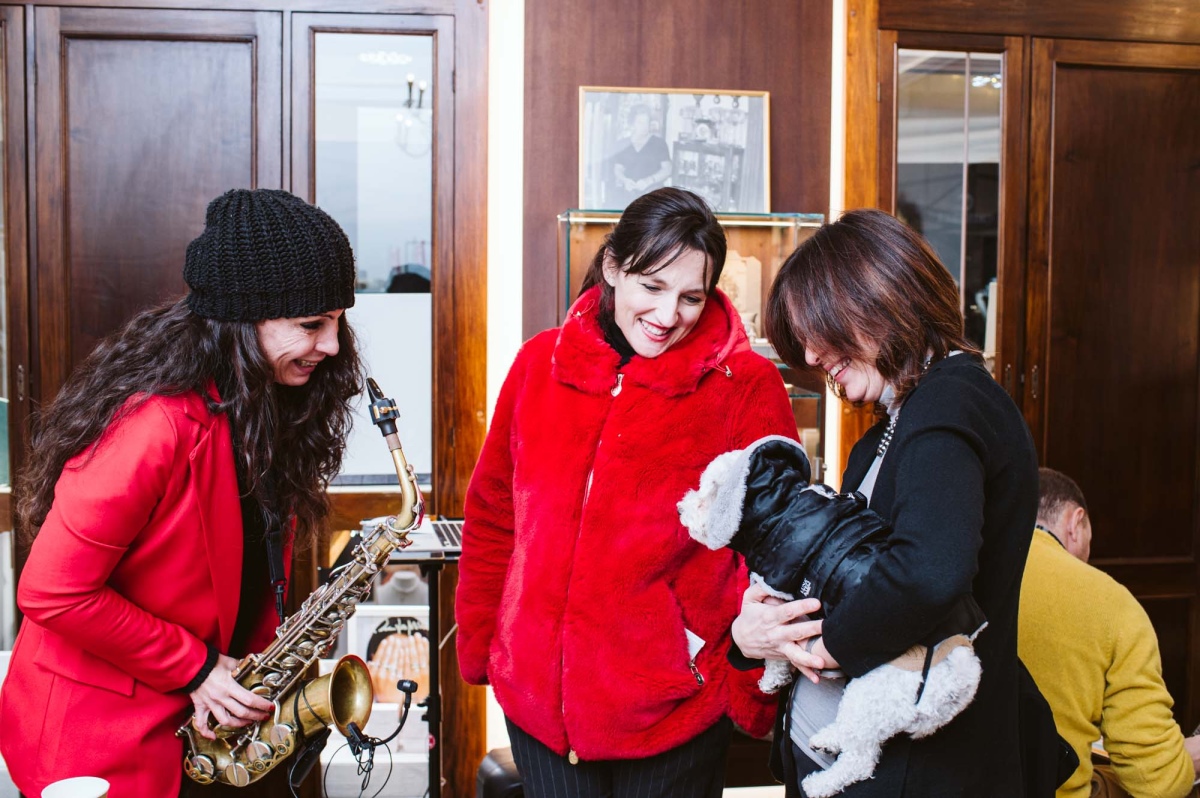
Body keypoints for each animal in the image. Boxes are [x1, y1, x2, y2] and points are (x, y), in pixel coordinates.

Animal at [679, 435, 986, 798]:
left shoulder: (778, 599)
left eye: (706, 493)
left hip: (871, 694)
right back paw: (830, 738)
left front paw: (772, 678)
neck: (778, 507)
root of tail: (960, 667)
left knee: (861, 759)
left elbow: (776, 654)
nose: (681, 508)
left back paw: (820, 783)